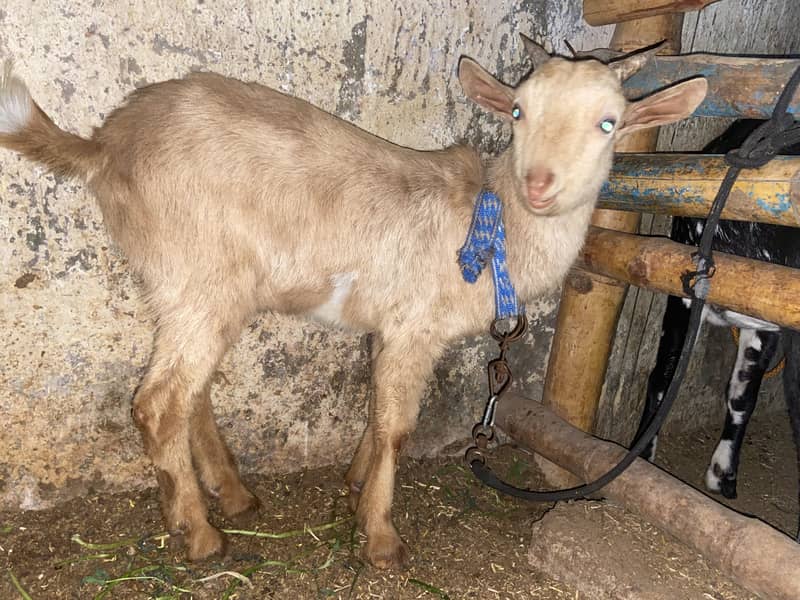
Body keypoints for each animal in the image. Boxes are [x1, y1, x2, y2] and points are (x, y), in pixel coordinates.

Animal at [0, 41, 705, 568]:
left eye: (609, 122)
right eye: (518, 112)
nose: (540, 185)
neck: (494, 223)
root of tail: (103, 146)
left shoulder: (385, 326)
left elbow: (373, 408)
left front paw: (357, 486)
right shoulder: (416, 324)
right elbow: (398, 425)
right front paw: (383, 540)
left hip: (183, 284)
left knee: (187, 391)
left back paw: (233, 496)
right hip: (201, 274)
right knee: (158, 402)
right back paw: (199, 535)